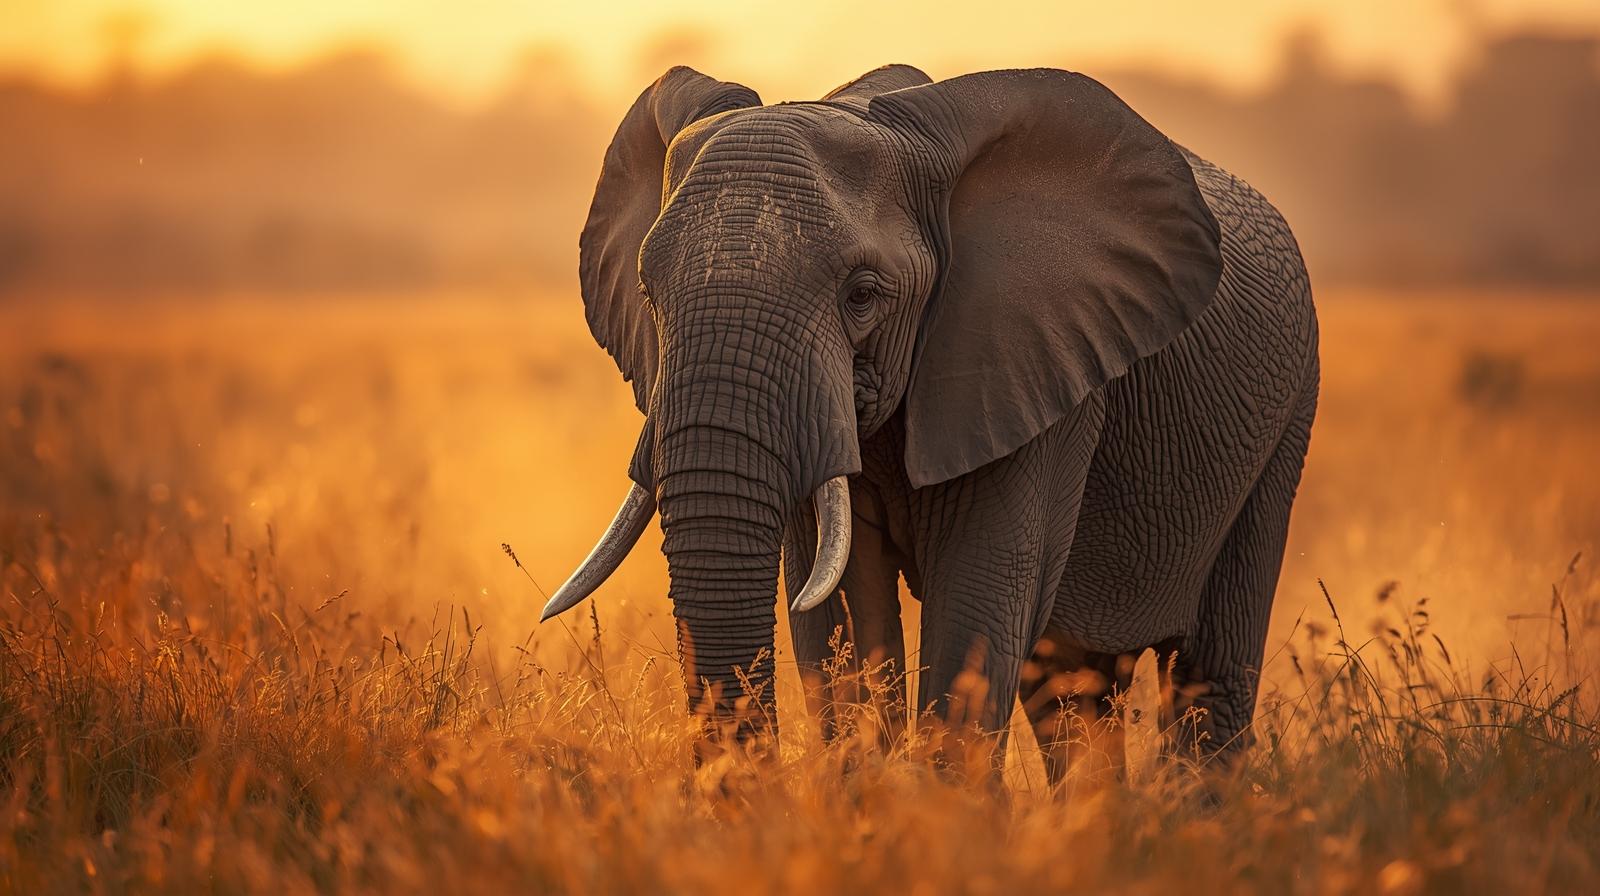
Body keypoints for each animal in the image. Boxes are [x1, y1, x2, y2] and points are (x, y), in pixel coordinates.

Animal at [540, 63, 1318, 779]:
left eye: (862, 295)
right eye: (648, 290)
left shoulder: (1027, 372)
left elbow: (973, 615)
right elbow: (840, 615)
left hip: (1285, 427)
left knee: (1207, 681)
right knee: (1070, 691)